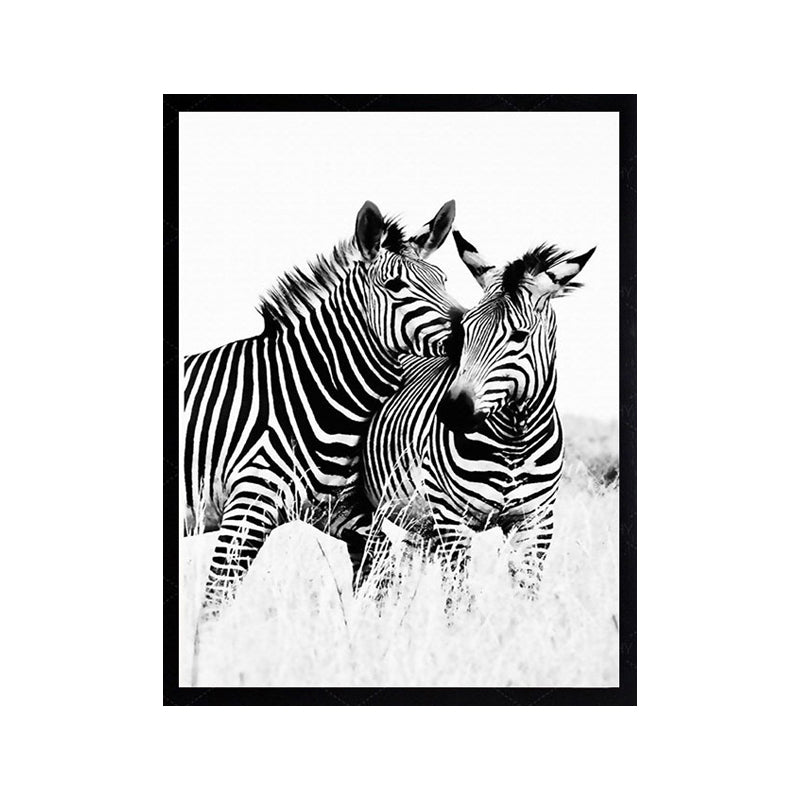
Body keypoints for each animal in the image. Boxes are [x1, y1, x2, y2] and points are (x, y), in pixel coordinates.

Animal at [183, 200, 458, 615]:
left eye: (443, 281)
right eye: (395, 286)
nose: (467, 334)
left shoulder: (339, 510)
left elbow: (379, 574)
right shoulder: (247, 503)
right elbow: (217, 597)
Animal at [349, 228, 595, 594]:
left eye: (519, 336)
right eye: (465, 329)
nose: (452, 411)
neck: (515, 439)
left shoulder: (536, 523)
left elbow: (525, 596)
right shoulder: (453, 520)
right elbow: (459, 598)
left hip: (416, 519)